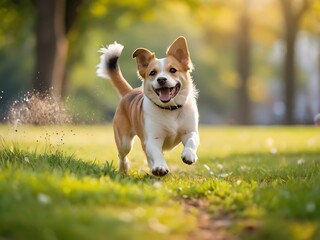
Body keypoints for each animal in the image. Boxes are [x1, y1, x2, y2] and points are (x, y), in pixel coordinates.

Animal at [96, 37, 199, 176]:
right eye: (153, 73)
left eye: (173, 70)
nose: (161, 79)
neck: (170, 109)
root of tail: (129, 92)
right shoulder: (152, 138)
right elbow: (156, 153)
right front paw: (160, 167)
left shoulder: (190, 131)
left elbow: (192, 140)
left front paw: (189, 155)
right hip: (124, 142)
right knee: (122, 155)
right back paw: (125, 168)